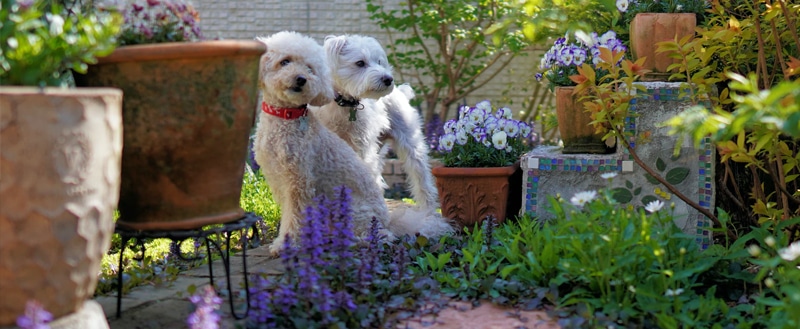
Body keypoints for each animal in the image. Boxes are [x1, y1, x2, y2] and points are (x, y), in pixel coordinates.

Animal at [312, 34, 440, 209]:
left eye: (379, 62)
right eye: (360, 63)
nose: (388, 79)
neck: (345, 104)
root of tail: (401, 92)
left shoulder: (362, 147)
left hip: (410, 144)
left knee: (421, 178)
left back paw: (428, 207)